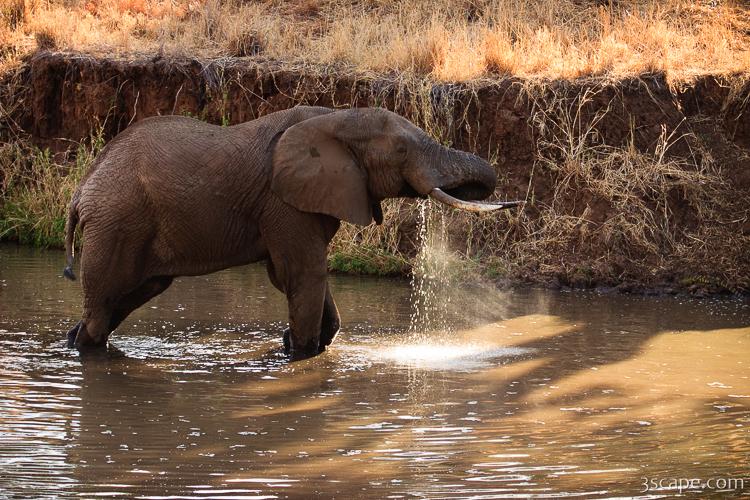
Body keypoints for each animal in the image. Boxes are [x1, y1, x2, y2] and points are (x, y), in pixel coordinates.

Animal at [62, 106, 520, 359]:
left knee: (131, 294)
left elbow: (301, 279)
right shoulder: (283, 201)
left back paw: (72, 341)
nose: (514, 204)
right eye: (403, 151)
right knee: (104, 305)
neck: (334, 117)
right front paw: (297, 353)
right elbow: (303, 274)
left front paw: (290, 344)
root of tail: (82, 189)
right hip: (117, 224)